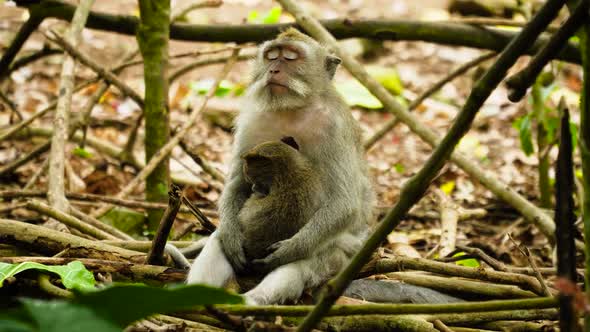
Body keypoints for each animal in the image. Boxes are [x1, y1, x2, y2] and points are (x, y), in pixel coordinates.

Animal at [190, 28, 374, 304]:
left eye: (290, 57)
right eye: (271, 55)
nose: (274, 70)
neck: (291, 107)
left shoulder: (335, 127)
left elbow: (345, 203)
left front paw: (288, 251)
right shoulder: (253, 119)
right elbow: (238, 184)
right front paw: (231, 237)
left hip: (341, 255)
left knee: (303, 263)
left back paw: (254, 299)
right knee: (217, 241)